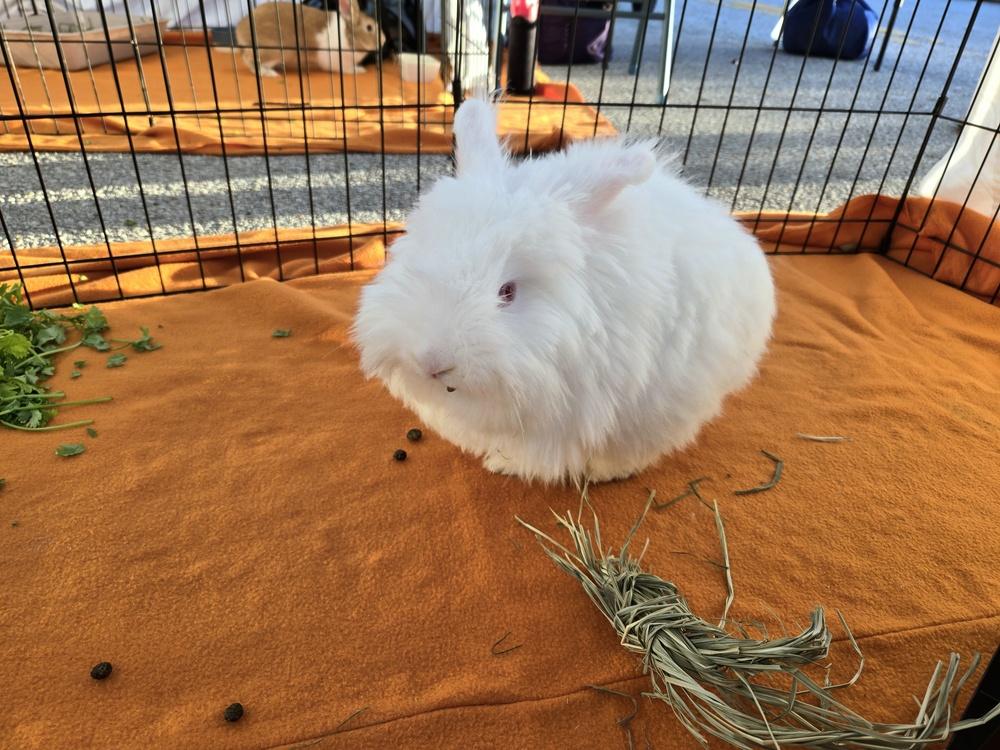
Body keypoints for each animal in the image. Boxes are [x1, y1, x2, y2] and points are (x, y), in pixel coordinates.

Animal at [234, 0, 384, 77]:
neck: (348, 36)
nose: (383, 40)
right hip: (274, 51)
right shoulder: (339, 63)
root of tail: (239, 30)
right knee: (249, 60)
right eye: (369, 27)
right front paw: (359, 70)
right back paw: (269, 73)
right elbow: (346, 69)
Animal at [352, 97, 777, 485]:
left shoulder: (650, 405)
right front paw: (501, 462)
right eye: (415, 260)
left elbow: (625, 450)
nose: (431, 361)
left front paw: (606, 472)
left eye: (507, 291)